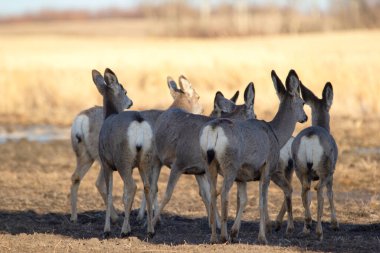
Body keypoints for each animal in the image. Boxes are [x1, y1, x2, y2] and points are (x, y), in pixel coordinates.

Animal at [94, 70, 203, 238]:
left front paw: (108, 229)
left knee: (128, 186)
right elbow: (151, 188)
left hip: (123, 160)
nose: (130, 102)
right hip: (141, 159)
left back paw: (125, 227)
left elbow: (114, 191)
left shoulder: (108, 163)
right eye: (198, 97)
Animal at [151, 82, 255, 227]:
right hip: (156, 157)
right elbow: (167, 194)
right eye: (255, 116)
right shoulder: (178, 162)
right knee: (152, 187)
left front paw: (217, 224)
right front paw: (152, 225)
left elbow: (210, 194)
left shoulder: (201, 169)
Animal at [200, 69, 308, 243]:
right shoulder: (267, 167)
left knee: (212, 194)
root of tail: (214, 129)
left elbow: (243, 200)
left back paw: (214, 237)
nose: (305, 117)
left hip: (209, 163)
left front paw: (235, 232)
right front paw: (262, 237)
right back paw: (223, 236)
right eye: (303, 102)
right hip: (230, 164)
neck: (275, 134)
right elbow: (262, 201)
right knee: (223, 193)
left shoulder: (242, 176)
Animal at [290, 81, 338, 241]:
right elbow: (331, 194)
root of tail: (310, 136)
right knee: (319, 191)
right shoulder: (332, 174)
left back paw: (307, 226)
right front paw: (335, 224)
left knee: (304, 192)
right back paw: (319, 231)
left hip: (301, 170)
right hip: (324, 170)